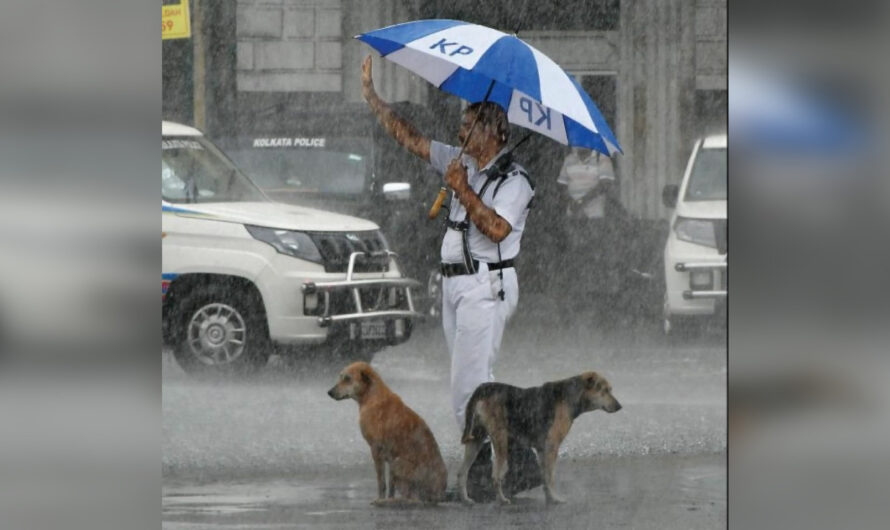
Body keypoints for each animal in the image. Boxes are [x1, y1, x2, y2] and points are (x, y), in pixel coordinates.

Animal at [328, 358, 448, 504]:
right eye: (341, 377)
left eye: (347, 379)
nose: (329, 392)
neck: (371, 396)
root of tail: (439, 494)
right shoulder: (390, 457)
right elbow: (391, 485)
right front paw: (388, 496)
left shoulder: (376, 449)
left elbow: (381, 482)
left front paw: (380, 498)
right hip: (395, 464)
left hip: (398, 464)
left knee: (413, 498)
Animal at [458, 372, 616, 504]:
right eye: (605, 390)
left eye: (610, 389)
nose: (619, 406)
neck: (570, 396)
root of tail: (483, 387)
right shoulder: (552, 446)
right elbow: (550, 477)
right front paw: (556, 499)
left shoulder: (541, 449)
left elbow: (545, 477)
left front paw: (549, 498)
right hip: (501, 440)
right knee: (495, 476)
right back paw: (502, 500)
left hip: (476, 440)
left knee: (462, 473)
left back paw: (466, 499)